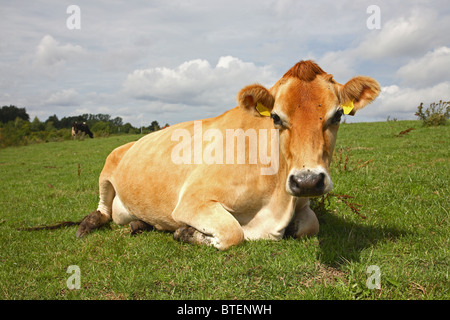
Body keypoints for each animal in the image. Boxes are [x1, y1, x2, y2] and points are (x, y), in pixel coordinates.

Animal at [74, 60, 380, 250]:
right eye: (276, 117)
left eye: (337, 115)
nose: (307, 181)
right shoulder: (192, 201)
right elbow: (234, 233)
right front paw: (187, 232)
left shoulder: (302, 202)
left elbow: (310, 226)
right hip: (107, 169)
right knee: (103, 211)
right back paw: (88, 225)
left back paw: (140, 224)